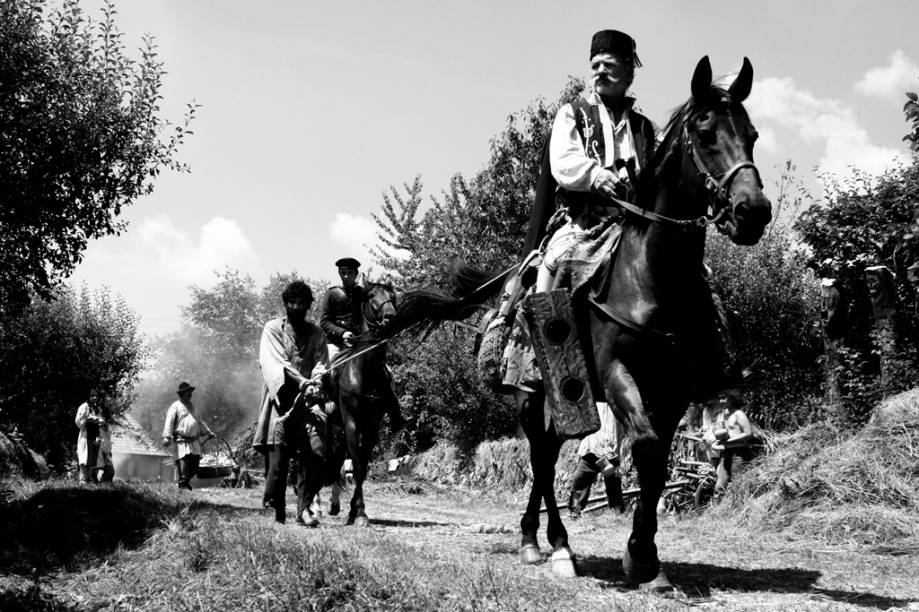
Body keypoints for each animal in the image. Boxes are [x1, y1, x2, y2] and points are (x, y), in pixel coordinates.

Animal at [324, 282, 398, 524]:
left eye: (392, 295)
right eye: (371, 295)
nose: (390, 316)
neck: (365, 371)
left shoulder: (372, 425)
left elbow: (362, 466)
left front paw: (356, 511)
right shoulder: (351, 421)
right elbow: (356, 462)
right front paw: (359, 511)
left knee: (336, 458)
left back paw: (334, 504)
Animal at [384, 59, 772, 592]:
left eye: (752, 135)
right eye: (705, 133)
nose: (753, 213)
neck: (648, 278)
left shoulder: (671, 392)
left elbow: (655, 465)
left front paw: (646, 559)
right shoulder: (615, 374)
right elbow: (645, 449)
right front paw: (639, 555)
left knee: (548, 454)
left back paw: (541, 538)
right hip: (534, 396)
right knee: (542, 458)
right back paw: (552, 545)